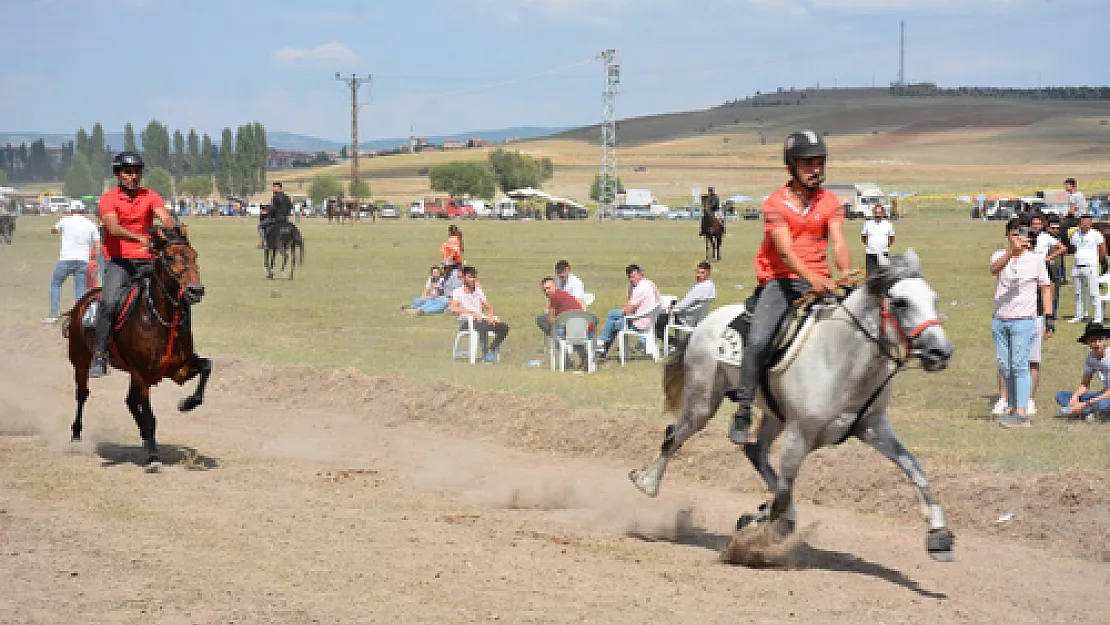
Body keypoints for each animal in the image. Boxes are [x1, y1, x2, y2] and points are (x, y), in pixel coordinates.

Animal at [62, 227, 212, 472]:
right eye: (169, 257)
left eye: (194, 255)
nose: (195, 290)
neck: (159, 318)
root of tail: (81, 303)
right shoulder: (142, 374)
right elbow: (150, 417)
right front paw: (153, 458)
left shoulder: (179, 369)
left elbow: (207, 367)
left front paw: (187, 404)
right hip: (81, 361)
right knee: (83, 395)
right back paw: (76, 436)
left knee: (130, 401)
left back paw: (144, 439)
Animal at [630, 251, 959, 563]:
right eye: (901, 302)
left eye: (934, 300)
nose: (941, 352)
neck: (840, 358)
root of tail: (705, 323)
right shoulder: (799, 435)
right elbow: (784, 493)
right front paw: (751, 538)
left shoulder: (873, 427)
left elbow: (914, 468)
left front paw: (939, 535)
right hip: (702, 401)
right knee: (675, 435)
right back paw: (647, 483)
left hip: (773, 416)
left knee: (755, 451)